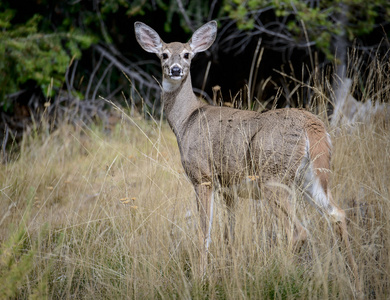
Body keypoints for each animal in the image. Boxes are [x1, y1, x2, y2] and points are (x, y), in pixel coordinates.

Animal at [136, 21, 362, 296]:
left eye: (187, 54)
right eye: (164, 55)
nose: (176, 69)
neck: (186, 121)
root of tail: (314, 126)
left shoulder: (203, 177)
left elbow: (204, 233)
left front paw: (200, 280)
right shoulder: (228, 189)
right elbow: (228, 236)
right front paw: (227, 273)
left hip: (274, 176)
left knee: (298, 231)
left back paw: (281, 277)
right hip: (310, 177)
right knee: (336, 214)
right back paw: (356, 284)